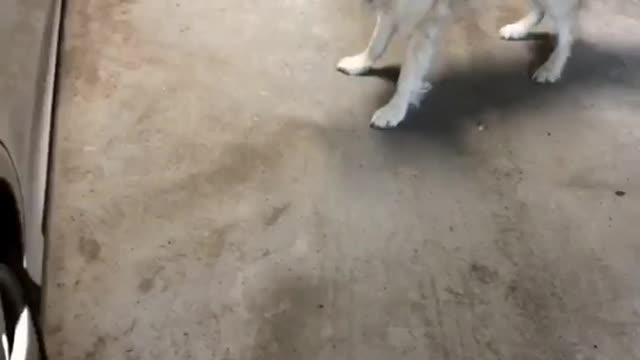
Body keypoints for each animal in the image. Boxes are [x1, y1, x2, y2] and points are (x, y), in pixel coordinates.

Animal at [338, 0, 584, 129]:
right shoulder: (393, 8)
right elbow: (376, 42)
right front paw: (360, 63)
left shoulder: (424, 19)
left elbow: (408, 75)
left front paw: (395, 109)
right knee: (542, 12)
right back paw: (518, 29)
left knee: (568, 30)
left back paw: (552, 66)